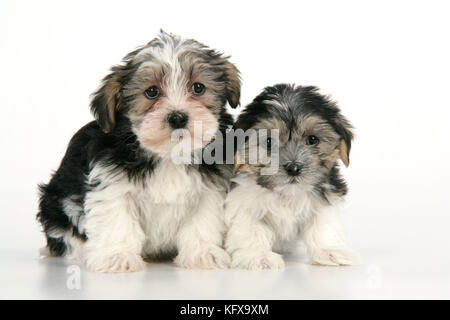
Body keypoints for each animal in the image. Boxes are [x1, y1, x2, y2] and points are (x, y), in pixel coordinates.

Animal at [37, 30, 241, 272]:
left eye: (198, 88)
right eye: (151, 92)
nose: (178, 117)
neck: (168, 155)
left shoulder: (208, 190)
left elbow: (201, 222)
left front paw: (202, 254)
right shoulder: (112, 186)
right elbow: (117, 220)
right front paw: (118, 257)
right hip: (57, 201)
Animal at [225, 84, 358, 268]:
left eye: (312, 139)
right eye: (268, 142)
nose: (293, 168)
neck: (286, 193)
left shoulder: (323, 199)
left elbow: (321, 226)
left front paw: (329, 251)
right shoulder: (243, 202)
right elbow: (250, 228)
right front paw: (258, 256)